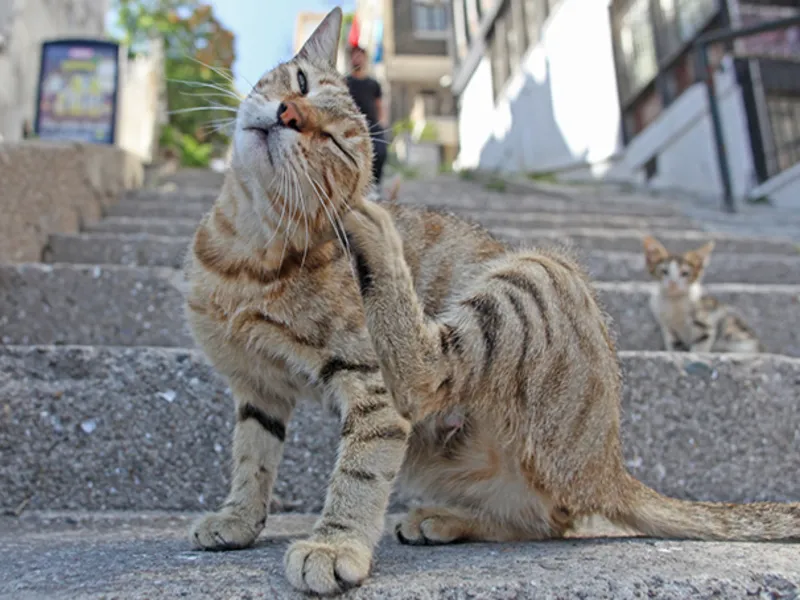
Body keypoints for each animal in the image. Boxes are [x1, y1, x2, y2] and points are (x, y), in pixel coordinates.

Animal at [183, 9, 800, 596]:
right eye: (302, 83)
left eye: (333, 141)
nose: (289, 113)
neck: (243, 250)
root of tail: (611, 466)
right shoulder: (257, 388)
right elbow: (252, 457)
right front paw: (238, 518)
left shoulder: (370, 387)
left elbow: (359, 472)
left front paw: (336, 545)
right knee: (546, 521)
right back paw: (446, 519)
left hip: (536, 273)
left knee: (428, 379)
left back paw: (378, 236)